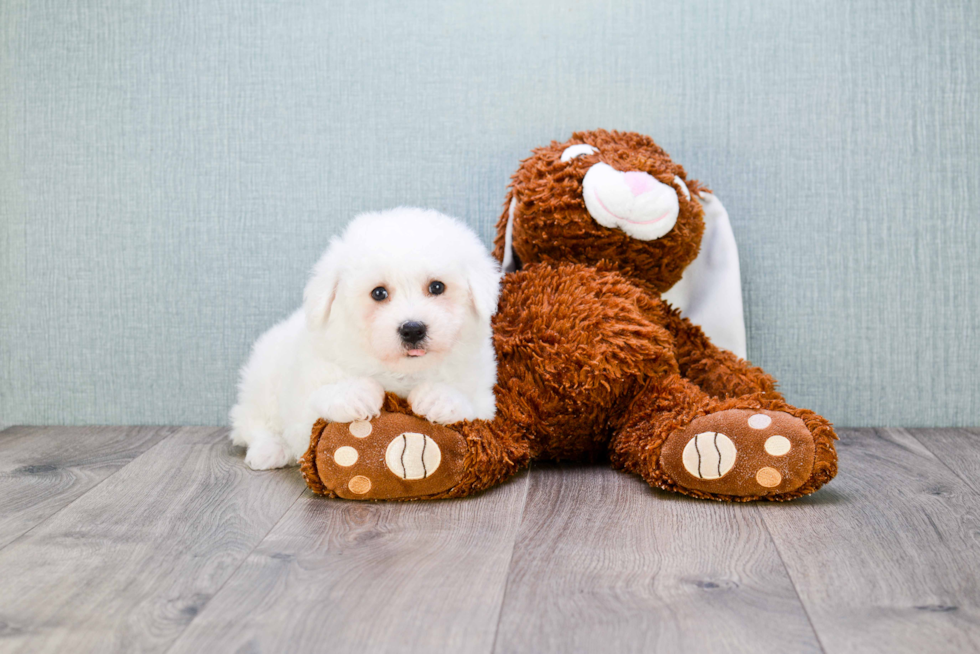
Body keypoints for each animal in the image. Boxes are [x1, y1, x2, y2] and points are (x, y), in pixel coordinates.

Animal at [230, 208, 502, 468]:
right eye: (378, 293)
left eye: (437, 287)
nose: (413, 329)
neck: (403, 373)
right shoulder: (302, 400)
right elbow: (313, 405)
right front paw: (354, 393)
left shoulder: (485, 397)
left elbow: (474, 407)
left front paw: (439, 398)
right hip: (262, 381)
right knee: (249, 421)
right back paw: (269, 450)